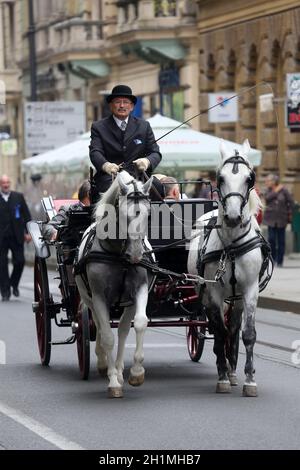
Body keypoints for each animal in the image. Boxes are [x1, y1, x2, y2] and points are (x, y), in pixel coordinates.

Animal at [75, 171, 152, 398]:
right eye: (124, 216)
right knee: (101, 328)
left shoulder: (140, 290)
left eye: (148, 215)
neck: (118, 255)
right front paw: (113, 382)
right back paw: (105, 366)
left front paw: (136, 372)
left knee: (124, 330)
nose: (135, 255)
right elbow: (107, 336)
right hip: (89, 299)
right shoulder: (99, 296)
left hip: (127, 304)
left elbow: (140, 323)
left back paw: (118, 369)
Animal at [189, 139, 270, 396]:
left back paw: (234, 371)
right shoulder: (214, 292)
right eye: (220, 177)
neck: (232, 246)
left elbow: (247, 334)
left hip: (236, 299)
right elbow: (220, 330)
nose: (233, 217)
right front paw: (222, 377)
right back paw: (223, 367)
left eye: (250, 178)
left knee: (233, 329)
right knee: (218, 328)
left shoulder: (250, 290)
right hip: (205, 293)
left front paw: (249, 380)